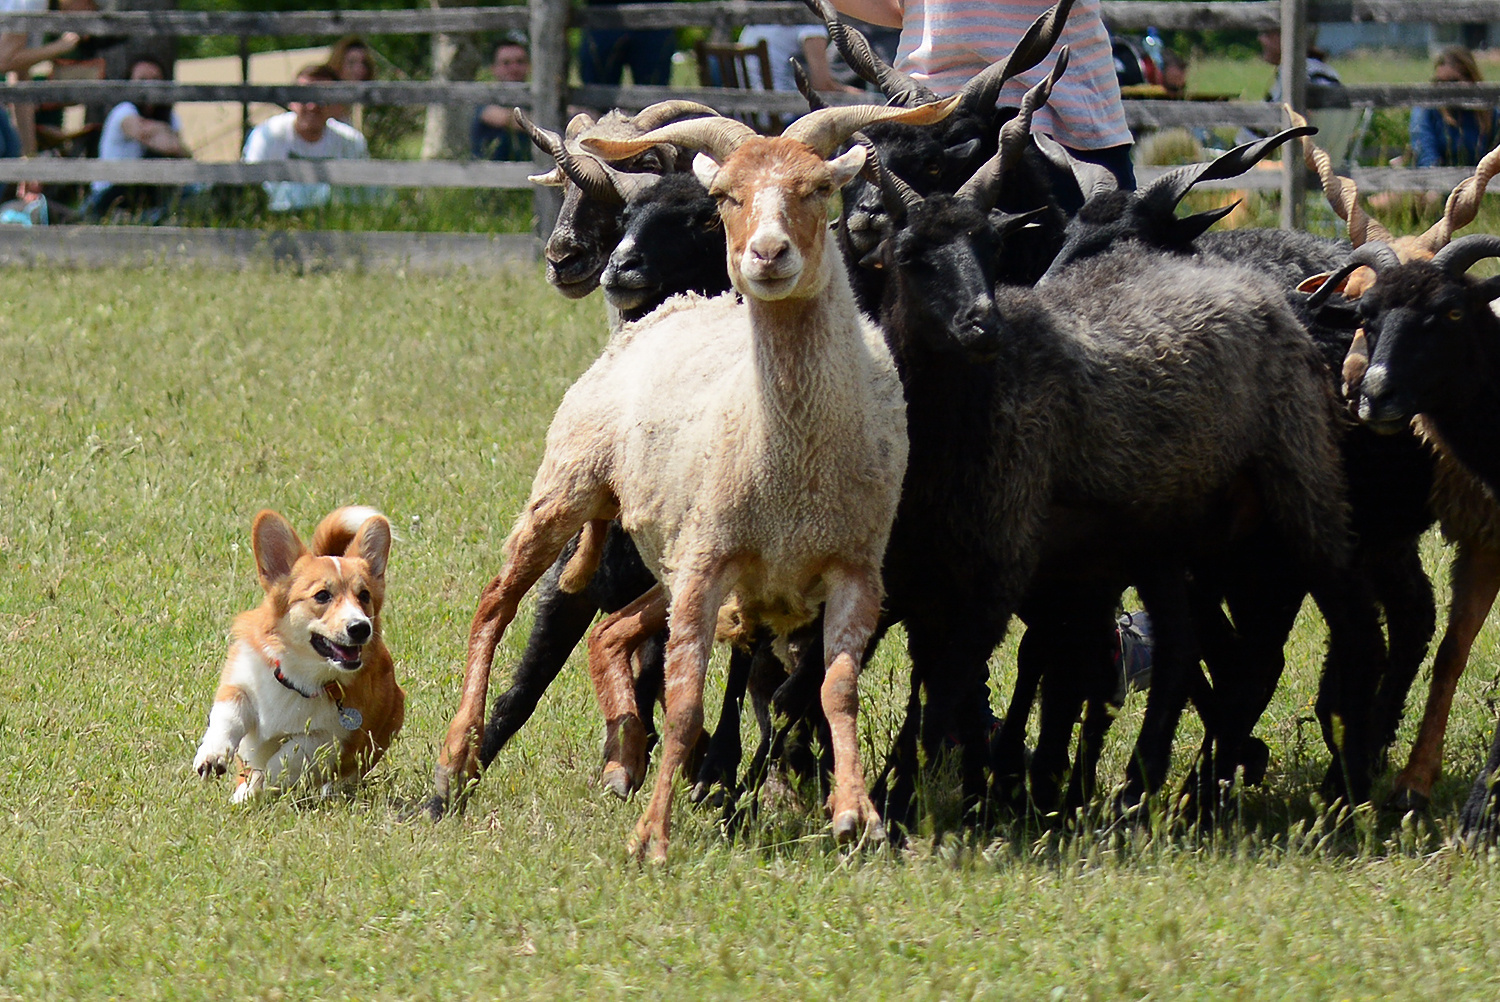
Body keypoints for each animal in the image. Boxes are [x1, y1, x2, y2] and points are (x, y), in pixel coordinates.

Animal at [193, 504, 405, 804]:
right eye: (322, 595)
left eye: (364, 596)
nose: (361, 628)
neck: (299, 677)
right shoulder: (239, 684)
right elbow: (227, 717)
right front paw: (213, 756)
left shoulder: (328, 737)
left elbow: (283, 759)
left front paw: (252, 789)